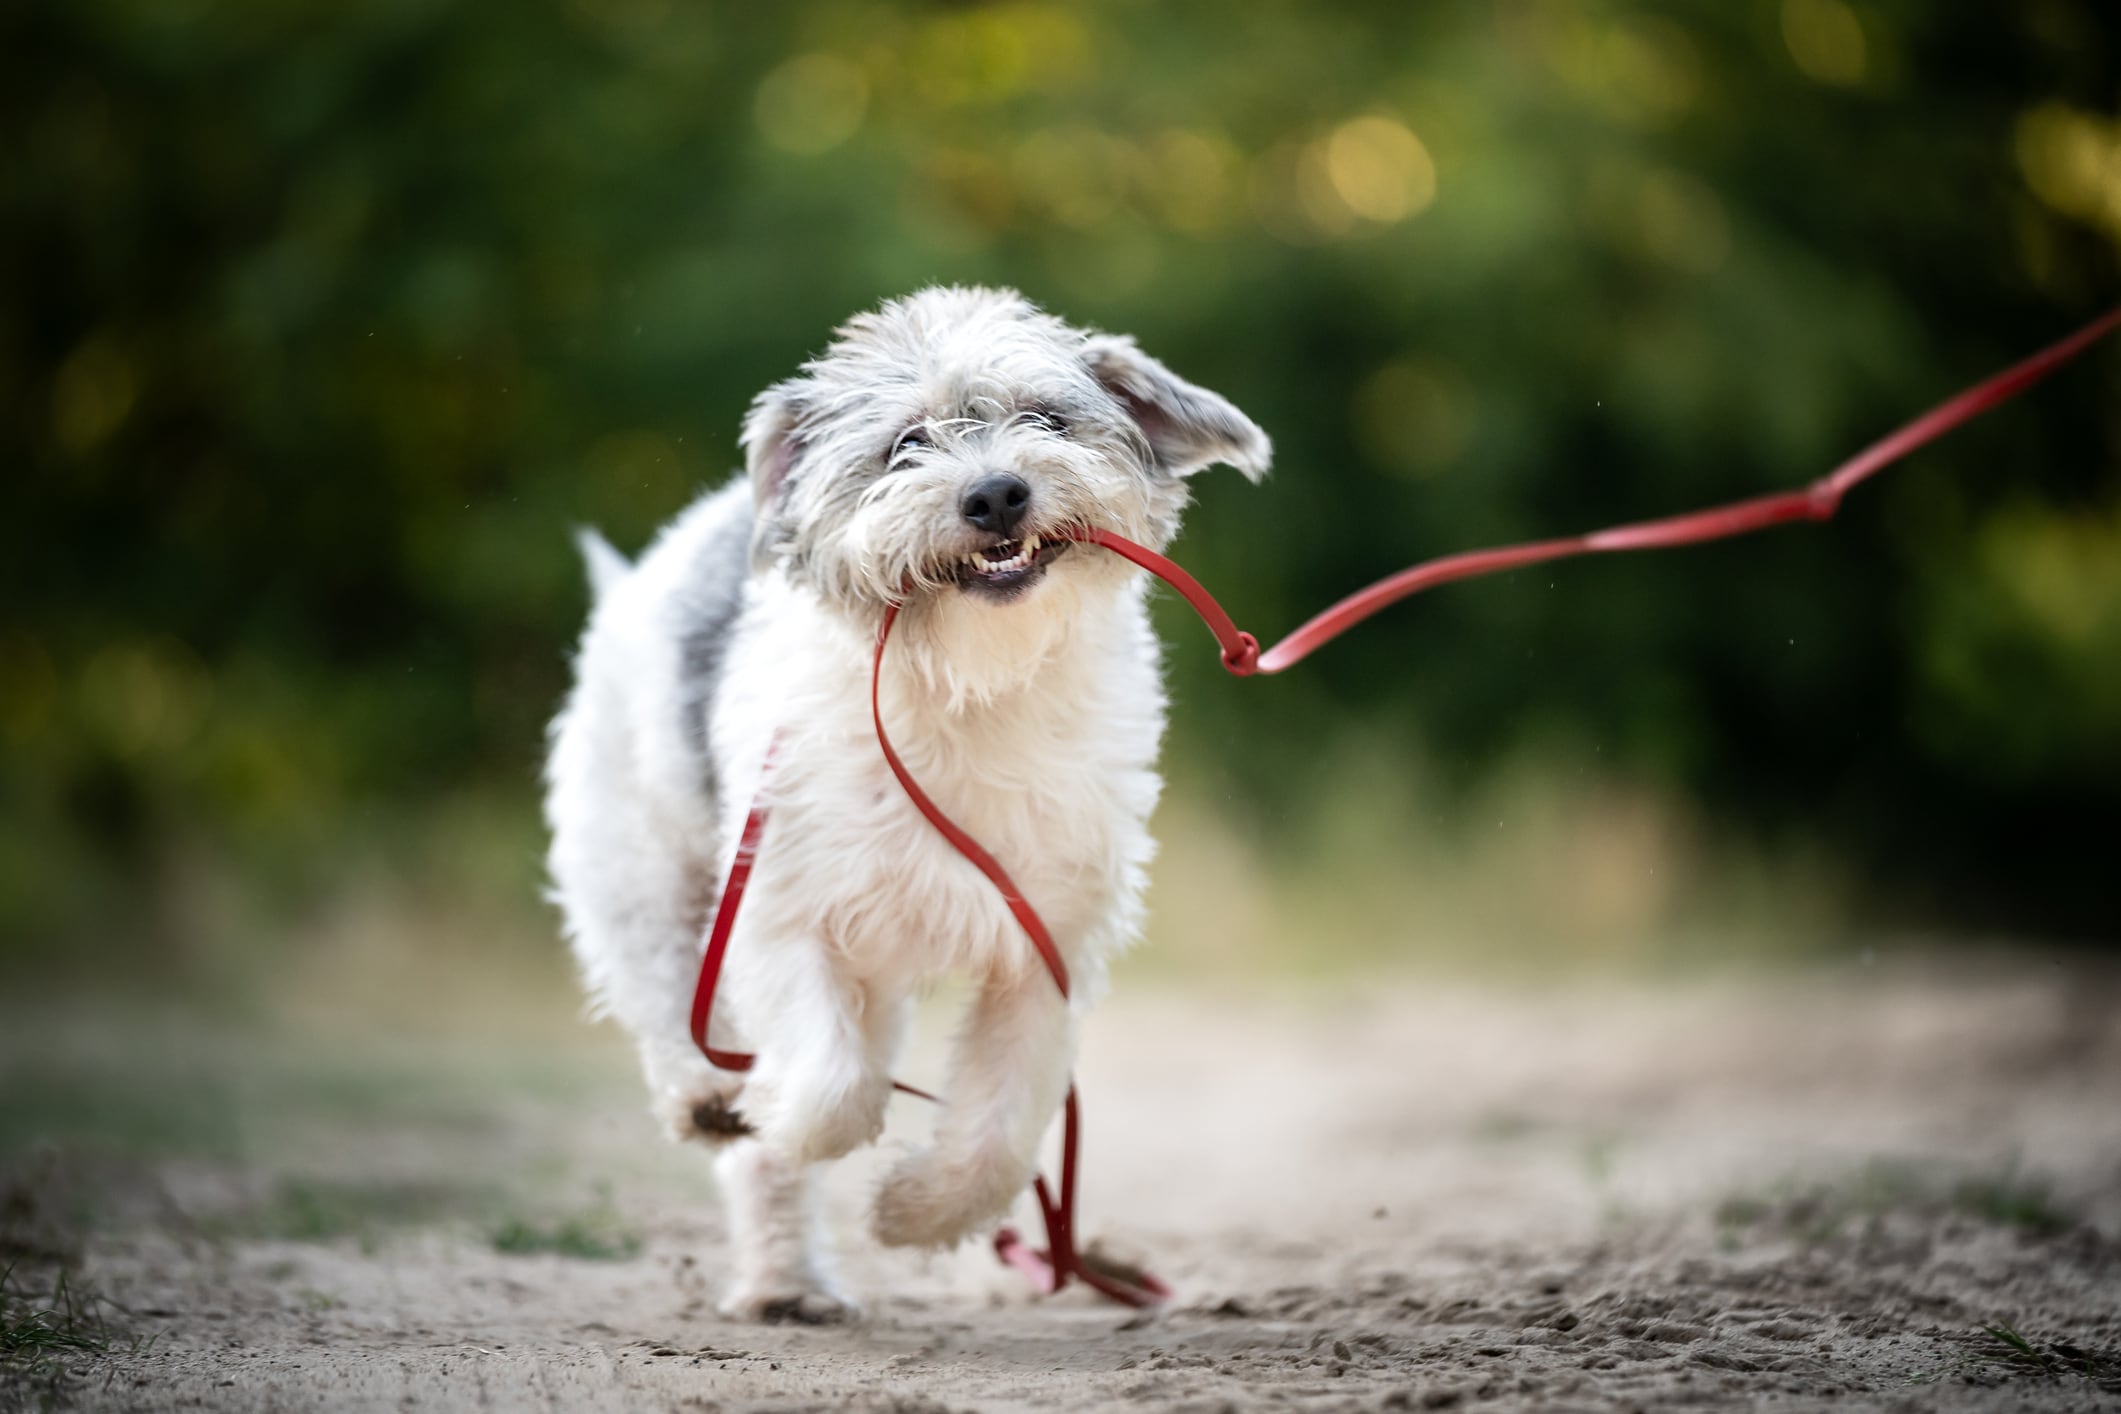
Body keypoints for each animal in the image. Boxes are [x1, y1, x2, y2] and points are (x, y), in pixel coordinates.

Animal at [547, 290, 1264, 1331]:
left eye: (1045, 419)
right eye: (905, 446)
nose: (995, 495)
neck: (965, 687)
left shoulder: (1047, 949)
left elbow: (1000, 1127)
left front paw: (917, 1213)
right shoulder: (777, 915)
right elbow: (829, 1090)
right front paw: (780, 1116)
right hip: (641, 878)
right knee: (671, 1007)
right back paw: (728, 1143)